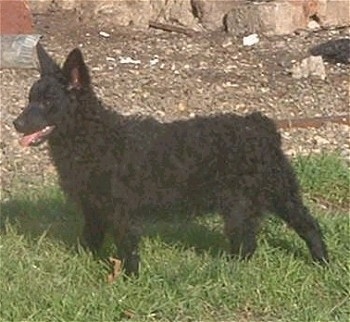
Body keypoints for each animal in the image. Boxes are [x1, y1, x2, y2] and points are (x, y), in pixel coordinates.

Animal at [13, 45, 328, 276]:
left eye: (47, 102)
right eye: (30, 98)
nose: (16, 123)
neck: (93, 138)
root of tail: (260, 126)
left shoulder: (122, 213)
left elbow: (128, 248)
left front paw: (130, 279)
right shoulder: (94, 208)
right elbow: (89, 239)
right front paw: (79, 263)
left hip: (256, 201)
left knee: (274, 237)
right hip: (270, 196)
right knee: (282, 232)